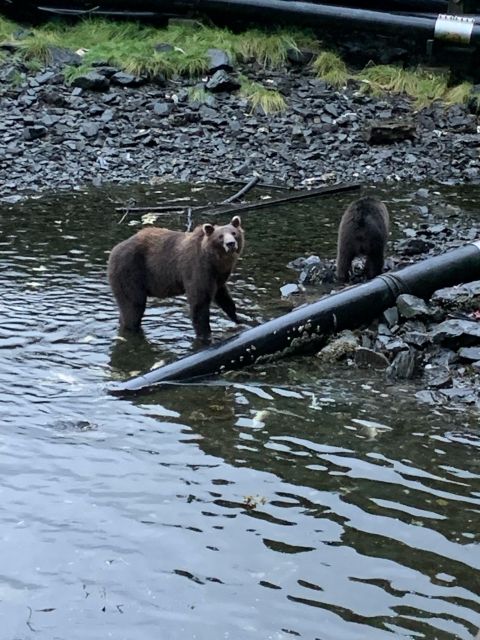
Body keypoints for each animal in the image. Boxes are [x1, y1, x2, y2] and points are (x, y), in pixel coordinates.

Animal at [109, 216, 244, 344]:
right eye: (220, 236)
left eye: (234, 233)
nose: (231, 244)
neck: (216, 261)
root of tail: (114, 250)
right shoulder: (197, 269)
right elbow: (199, 303)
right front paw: (205, 335)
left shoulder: (217, 276)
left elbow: (223, 297)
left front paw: (238, 319)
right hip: (130, 272)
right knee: (133, 306)